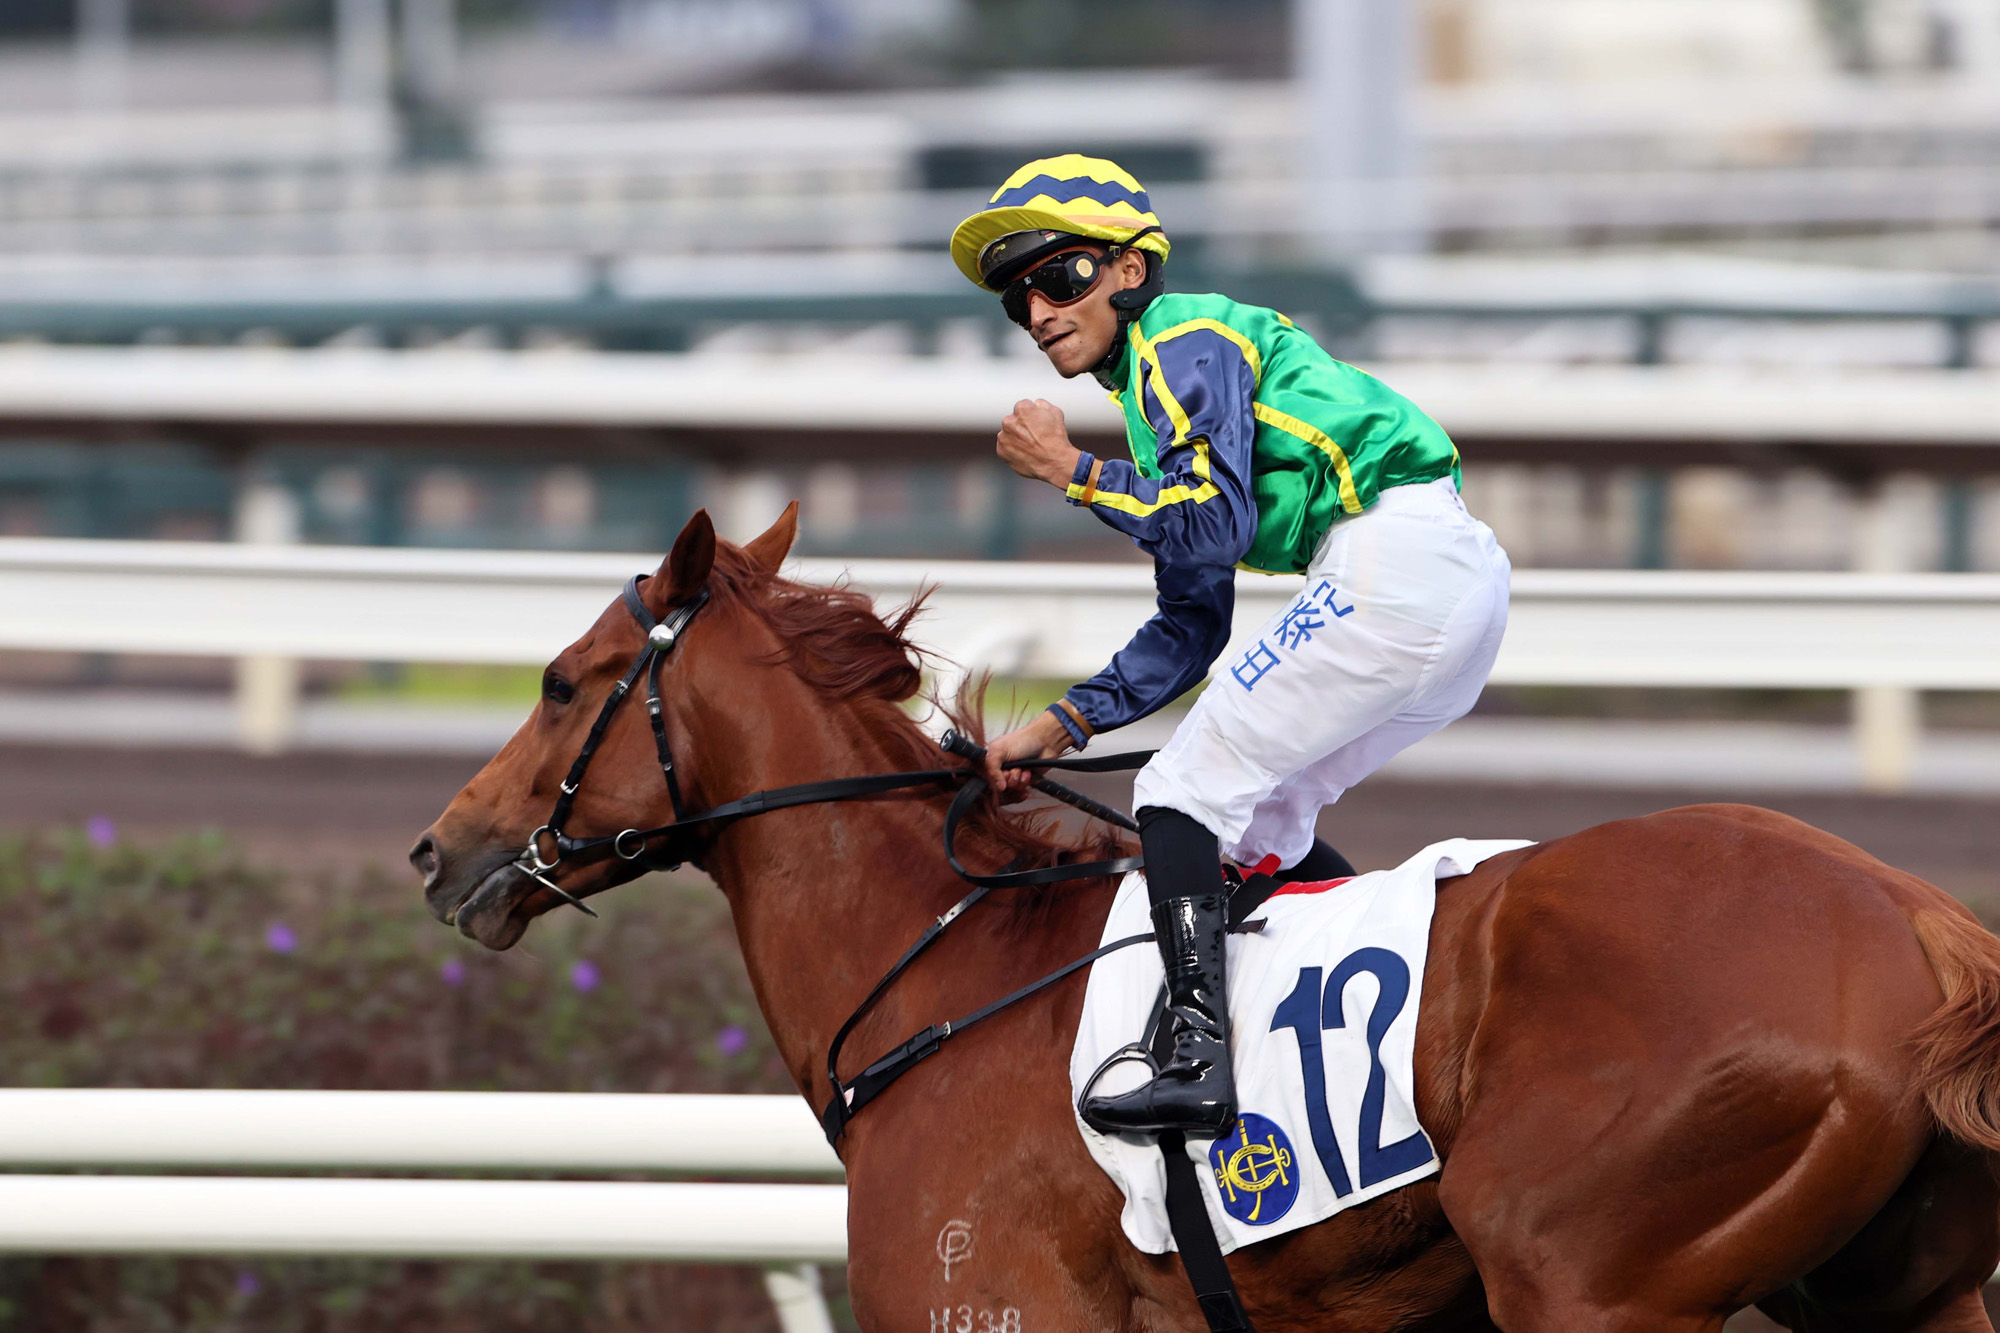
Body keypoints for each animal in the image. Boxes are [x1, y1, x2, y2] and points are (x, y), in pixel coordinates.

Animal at [406, 500, 2000, 1328]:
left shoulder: (993, 1307)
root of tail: (1921, 927)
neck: (949, 972)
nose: (438, 850)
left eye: (559, 679)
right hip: (1898, 1296)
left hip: (1582, 1284)